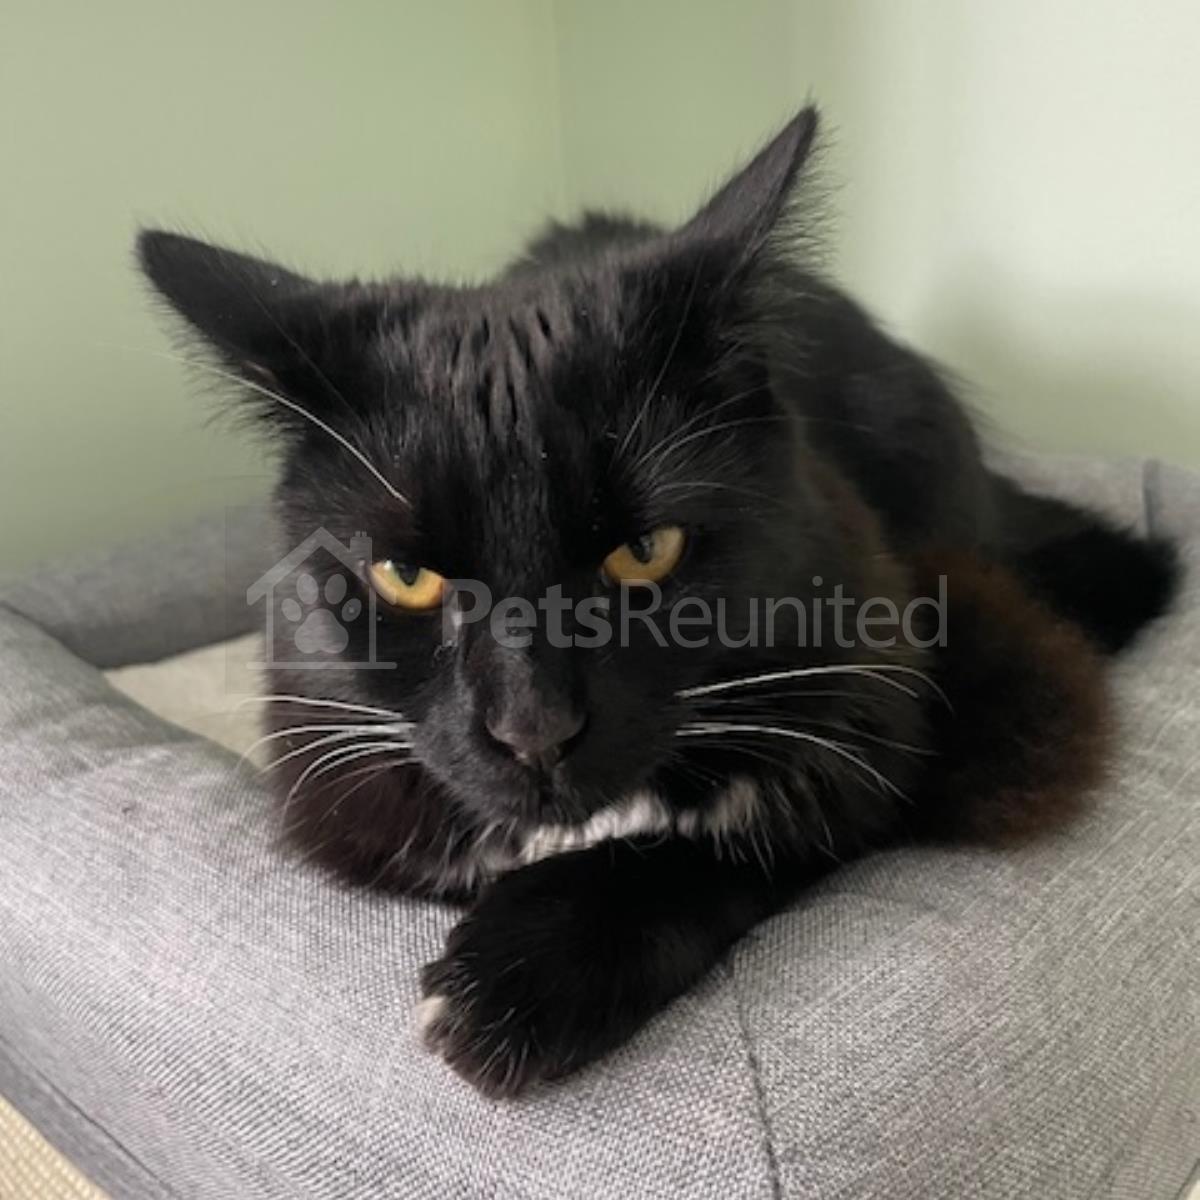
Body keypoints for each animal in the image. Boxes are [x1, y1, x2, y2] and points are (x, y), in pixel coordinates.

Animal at [138, 106, 1178, 1097]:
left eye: (646, 551)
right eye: (406, 575)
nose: (534, 730)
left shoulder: (910, 714)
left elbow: (746, 840)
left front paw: (518, 975)